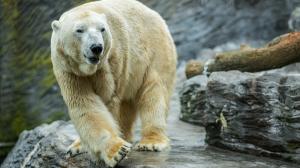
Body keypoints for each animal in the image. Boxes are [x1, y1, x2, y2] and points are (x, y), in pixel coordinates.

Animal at [50, 0, 177, 166]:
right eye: (79, 30)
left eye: (102, 29)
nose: (96, 47)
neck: (87, 69)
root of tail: (156, 15)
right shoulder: (68, 69)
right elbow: (84, 103)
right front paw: (79, 147)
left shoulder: (110, 62)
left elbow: (106, 101)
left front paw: (117, 151)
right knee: (127, 103)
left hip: (154, 50)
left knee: (154, 91)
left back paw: (151, 142)